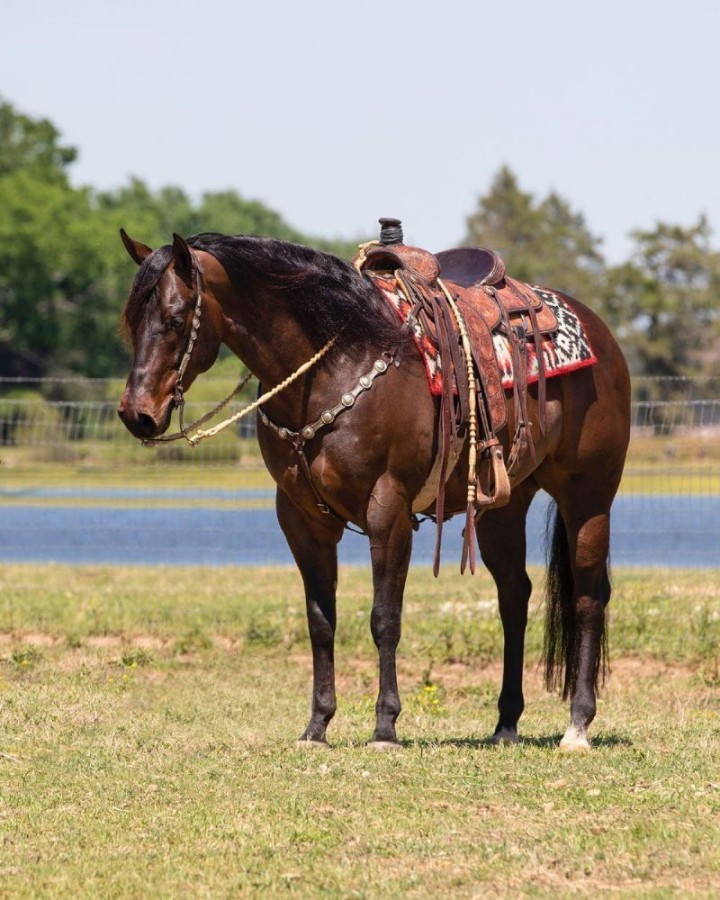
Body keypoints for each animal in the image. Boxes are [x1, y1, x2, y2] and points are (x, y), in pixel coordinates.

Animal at [117, 226, 631, 751]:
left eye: (175, 319)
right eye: (131, 320)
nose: (137, 414)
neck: (335, 366)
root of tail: (600, 333)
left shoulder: (388, 509)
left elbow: (385, 618)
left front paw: (385, 726)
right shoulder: (301, 519)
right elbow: (321, 621)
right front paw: (317, 725)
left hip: (588, 496)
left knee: (588, 597)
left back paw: (578, 724)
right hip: (502, 506)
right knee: (514, 595)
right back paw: (506, 723)